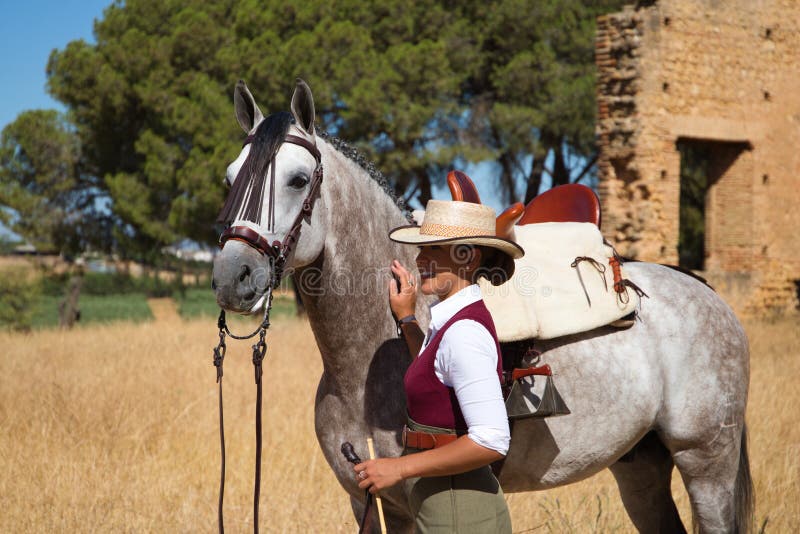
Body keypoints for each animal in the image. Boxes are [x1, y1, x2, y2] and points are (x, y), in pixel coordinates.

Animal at [211, 79, 752, 534]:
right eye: (230, 177)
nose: (232, 276)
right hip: (640, 465)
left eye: (299, 180)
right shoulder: (370, 501)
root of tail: (706, 294)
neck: (362, 367)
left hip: (706, 464)